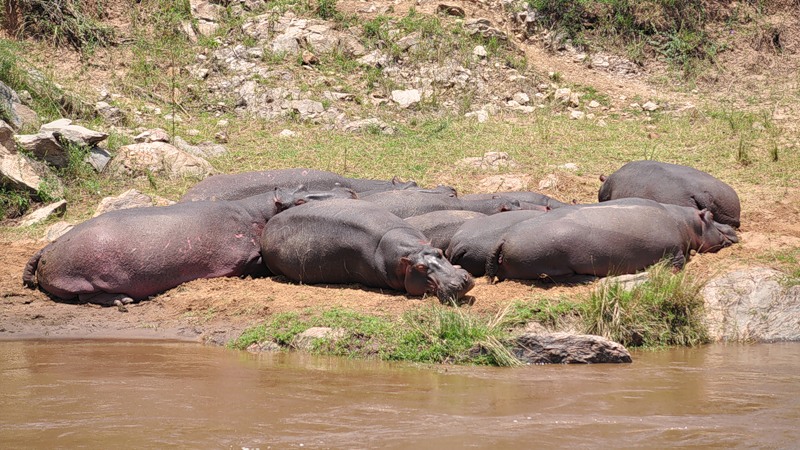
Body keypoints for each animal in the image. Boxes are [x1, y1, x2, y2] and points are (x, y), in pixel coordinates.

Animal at [22, 187, 357, 308]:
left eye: (306, 186)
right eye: (298, 201)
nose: (350, 192)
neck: (259, 213)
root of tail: (49, 246)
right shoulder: (243, 258)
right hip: (87, 274)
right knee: (86, 295)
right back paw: (124, 301)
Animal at [486, 198, 739, 282]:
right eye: (711, 215)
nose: (733, 229)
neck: (687, 224)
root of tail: (504, 238)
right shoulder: (674, 251)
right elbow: (678, 263)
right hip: (553, 262)